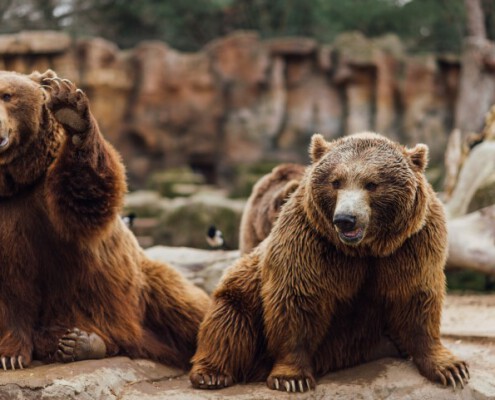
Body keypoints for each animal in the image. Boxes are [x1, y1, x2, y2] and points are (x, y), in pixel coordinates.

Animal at [0, 69, 211, 372]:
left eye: (7, 95)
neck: (14, 183)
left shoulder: (52, 196)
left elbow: (86, 193)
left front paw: (70, 109)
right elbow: (11, 293)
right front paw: (10, 355)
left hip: (142, 286)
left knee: (188, 308)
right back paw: (80, 343)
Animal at [192, 133, 470, 392]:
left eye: (372, 184)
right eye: (336, 182)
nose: (346, 219)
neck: (364, 249)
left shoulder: (411, 244)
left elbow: (417, 297)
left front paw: (451, 368)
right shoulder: (310, 241)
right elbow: (296, 302)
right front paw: (291, 378)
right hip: (245, 288)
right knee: (229, 320)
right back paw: (211, 373)